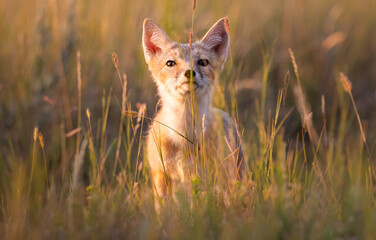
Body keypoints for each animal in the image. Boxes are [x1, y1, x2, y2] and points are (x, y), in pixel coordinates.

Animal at [141, 16, 244, 206]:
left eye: (202, 62)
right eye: (170, 63)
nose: (190, 72)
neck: (184, 133)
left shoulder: (198, 175)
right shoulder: (161, 175)